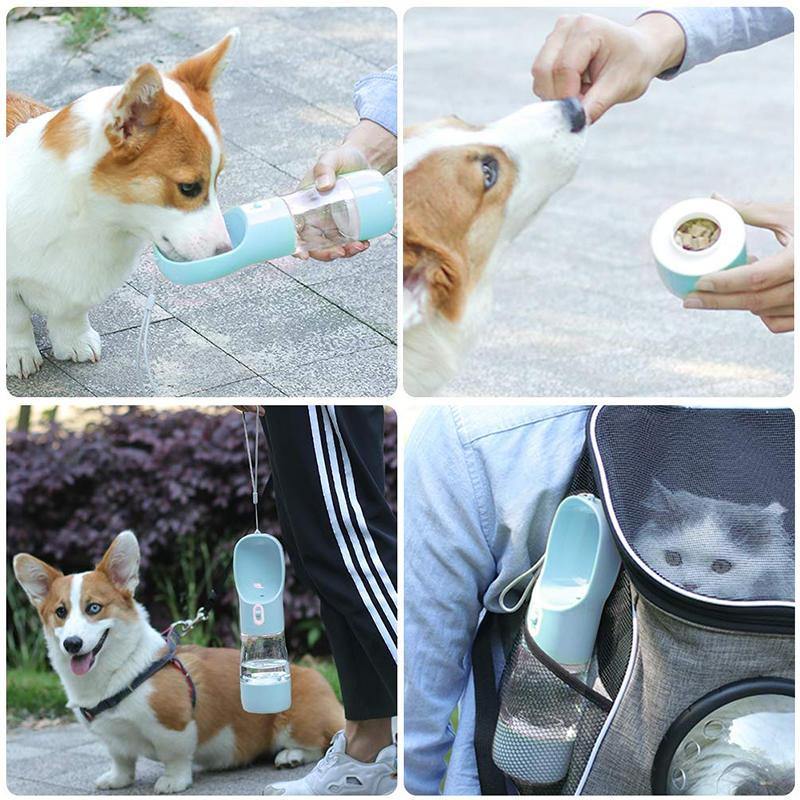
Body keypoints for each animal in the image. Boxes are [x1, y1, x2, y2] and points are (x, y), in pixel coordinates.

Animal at [7, 32, 238, 382]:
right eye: (188, 188)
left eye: (217, 178)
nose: (226, 252)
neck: (92, 222)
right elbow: (14, 319)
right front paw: (18, 355)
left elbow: (71, 312)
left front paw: (74, 341)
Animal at [12, 532, 344, 792]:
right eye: (60, 612)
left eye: (94, 608)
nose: (72, 644)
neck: (118, 671)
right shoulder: (113, 738)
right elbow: (121, 759)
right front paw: (117, 779)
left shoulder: (173, 727)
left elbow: (176, 757)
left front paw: (173, 781)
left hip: (293, 723)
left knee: (321, 742)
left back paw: (291, 756)